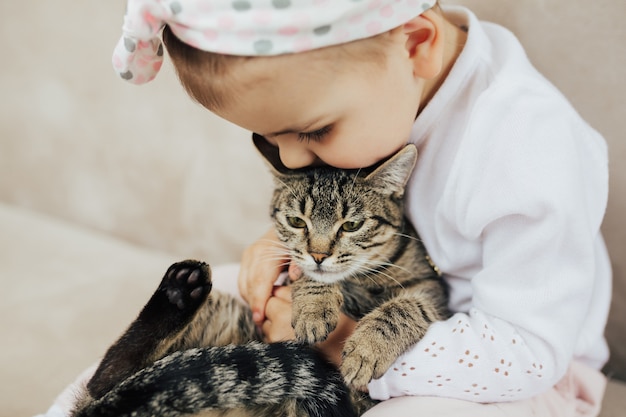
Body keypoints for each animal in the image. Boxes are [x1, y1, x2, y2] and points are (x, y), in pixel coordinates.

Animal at [70, 144, 446, 416]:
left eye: (352, 225)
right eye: (297, 221)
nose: (319, 254)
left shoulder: (433, 294)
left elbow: (402, 307)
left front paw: (365, 348)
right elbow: (305, 275)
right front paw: (314, 306)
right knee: (106, 375)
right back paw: (180, 289)